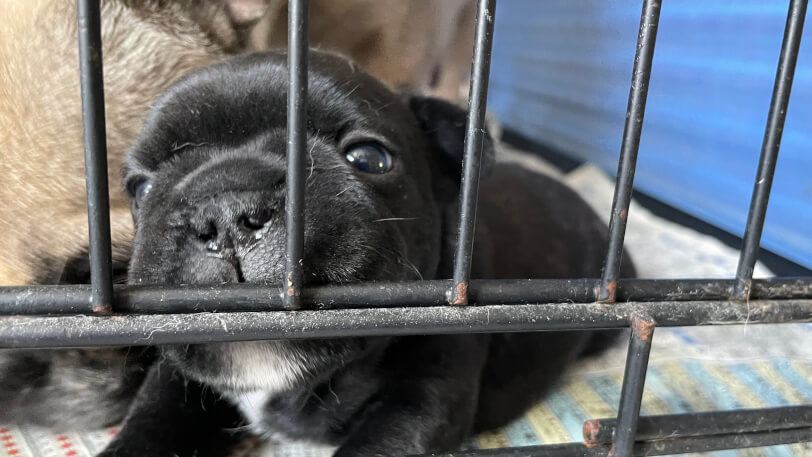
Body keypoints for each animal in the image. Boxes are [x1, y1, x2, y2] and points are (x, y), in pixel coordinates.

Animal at [98, 51, 636, 456]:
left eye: (370, 159)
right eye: (141, 189)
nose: (229, 209)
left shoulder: (422, 399)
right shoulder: (180, 375)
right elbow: (149, 419)